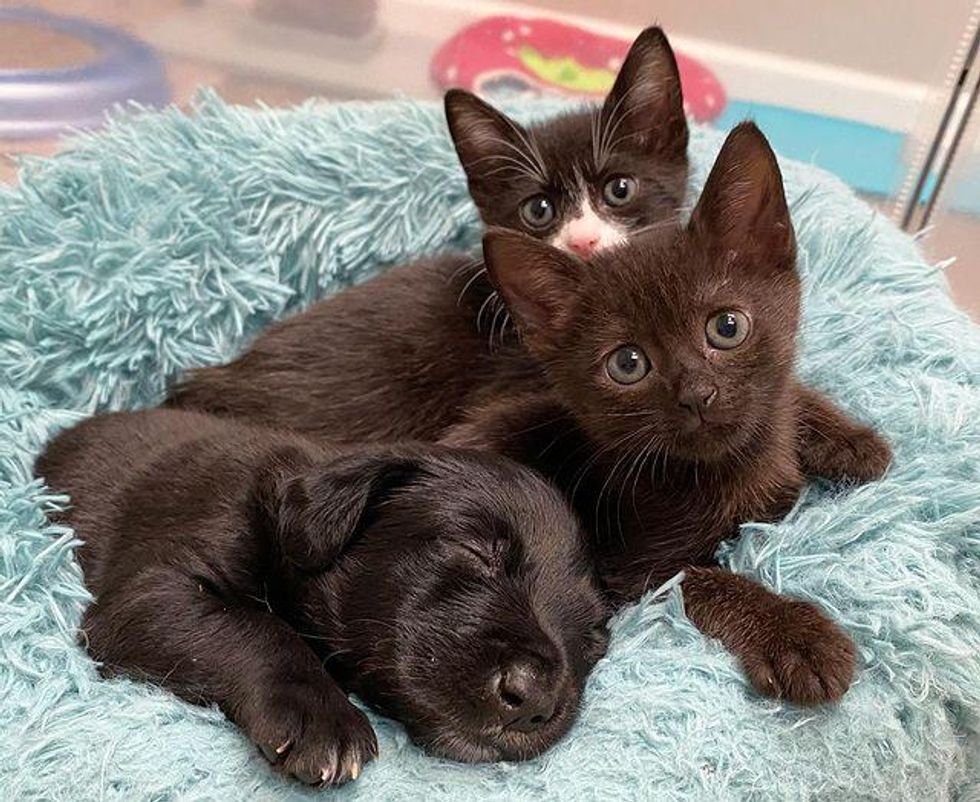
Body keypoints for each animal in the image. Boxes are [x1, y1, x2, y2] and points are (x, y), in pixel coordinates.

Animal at [34, 410, 608, 784]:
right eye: (474, 549)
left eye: (596, 637)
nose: (537, 702)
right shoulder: (153, 590)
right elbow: (256, 627)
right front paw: (323, 718)